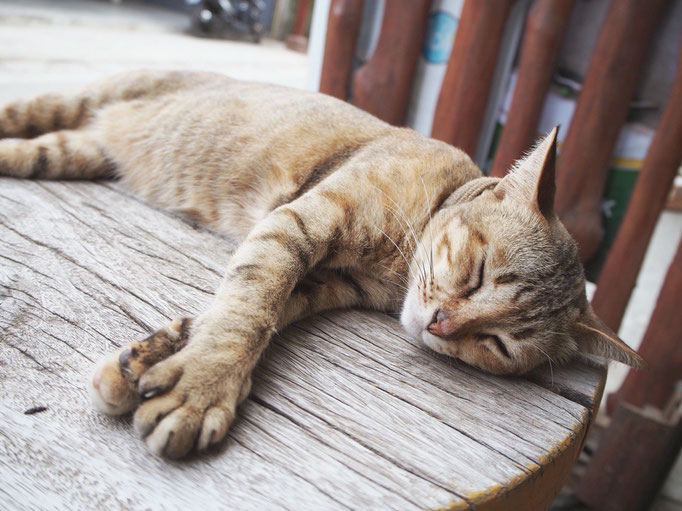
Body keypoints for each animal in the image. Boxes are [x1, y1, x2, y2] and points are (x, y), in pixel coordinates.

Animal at [0, 69, 640, 460]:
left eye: (499, 345)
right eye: (479, 271)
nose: (441, 324)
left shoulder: (321, 282)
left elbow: (236, 314)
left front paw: (147, 363)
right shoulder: (298, 224)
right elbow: (246, 310)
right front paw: (204, 385)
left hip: (70, 152)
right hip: (74, 102)